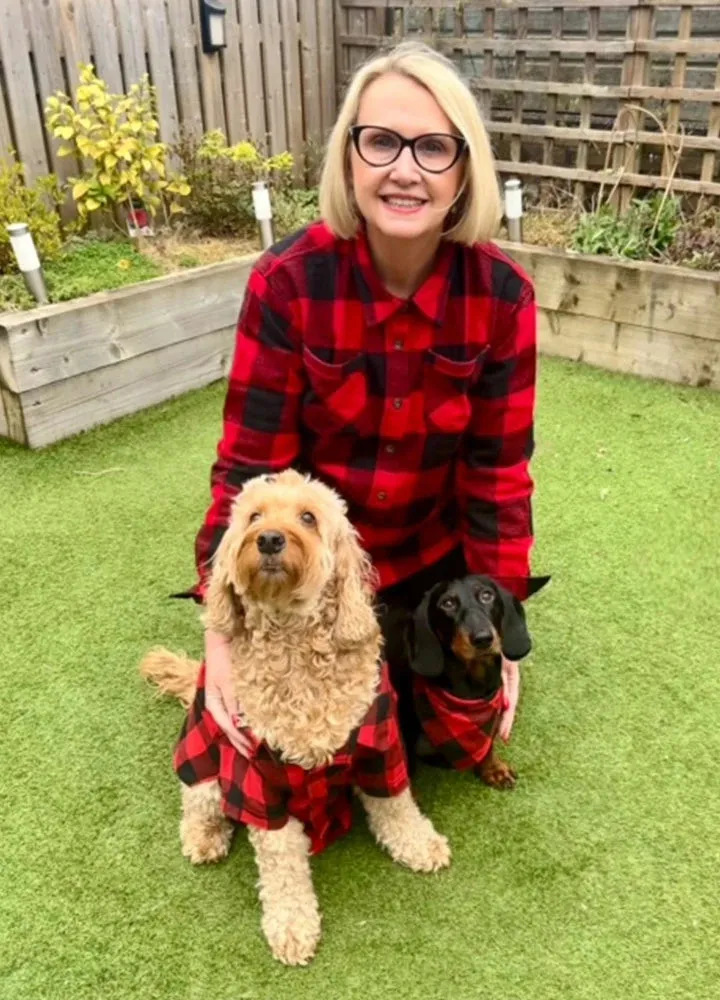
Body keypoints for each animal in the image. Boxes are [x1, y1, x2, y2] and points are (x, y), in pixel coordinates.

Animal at [141, 472, 450, 964]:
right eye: (254, 516)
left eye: (308, 517)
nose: (269, 539)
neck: (295, 645)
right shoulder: (256, 777)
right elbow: (282, 862)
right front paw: (292, 925)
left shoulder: (380, 744)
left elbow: (396, 803)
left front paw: (417, 843)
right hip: (206, 770)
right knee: (196, 804)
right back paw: (204, 836)